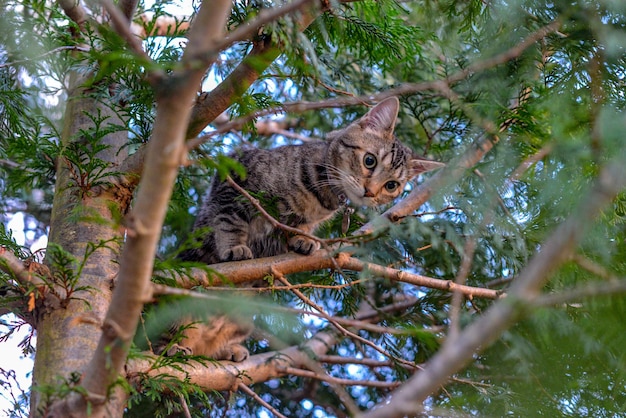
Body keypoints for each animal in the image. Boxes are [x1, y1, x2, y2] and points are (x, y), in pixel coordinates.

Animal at [166, 96, 444, 360]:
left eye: (391, 186)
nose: (370, 192)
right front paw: (235, 246)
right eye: (369, 161)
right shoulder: (235, 177)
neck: (320, 195)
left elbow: (299, 227)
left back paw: (225, 350)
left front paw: (303, 239)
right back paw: (175, 347)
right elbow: (230, 220)